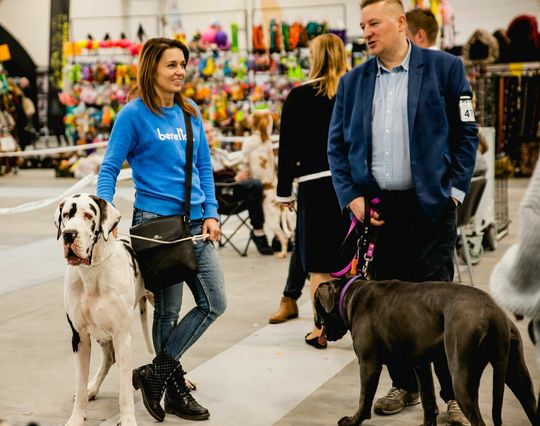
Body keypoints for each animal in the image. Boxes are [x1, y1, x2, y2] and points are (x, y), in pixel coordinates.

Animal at [55, 193, 152, 426]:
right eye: (66, 215)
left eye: (88, 215)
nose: (68, 235)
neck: (92, 272)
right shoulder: (79, 337)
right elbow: (79, 385)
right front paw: (77, 417)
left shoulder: (122, 337)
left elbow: (125, 390)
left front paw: (127, 420)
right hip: (100, 333)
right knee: (109, 358)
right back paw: (92, 388)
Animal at [314, 278, 537, 426]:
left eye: (316, 307)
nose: (317, 324)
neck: (351, 295)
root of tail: (493, 311)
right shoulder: (421, 364)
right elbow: (428, 398)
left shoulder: (369, 365)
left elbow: (363, 399)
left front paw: (352, 420)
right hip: (516, 375)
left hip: (462, 381)